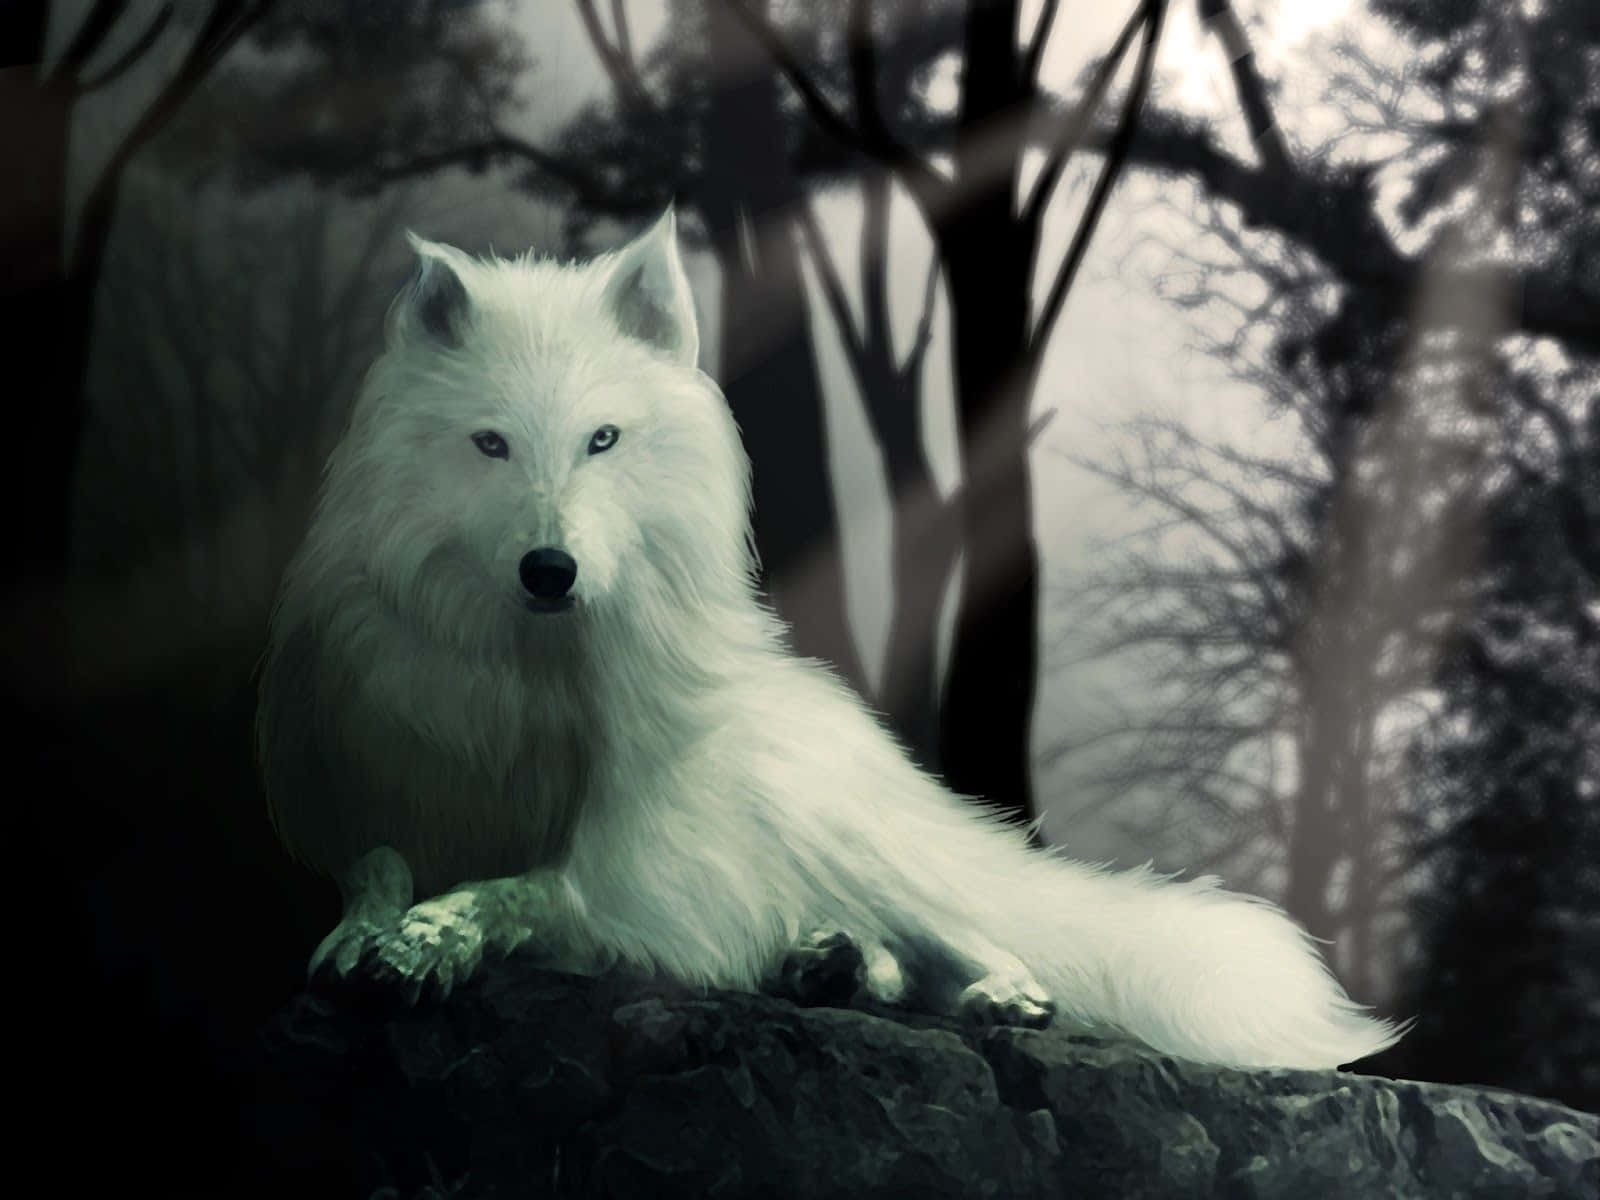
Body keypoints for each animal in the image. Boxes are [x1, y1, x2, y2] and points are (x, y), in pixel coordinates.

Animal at [257, 210, 1405, 1070]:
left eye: (602, 441)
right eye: (490, 444)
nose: (551, 570)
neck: (526, 671)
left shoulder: (621, 866)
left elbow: (518, 890)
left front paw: (433, 938)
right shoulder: (365, 787)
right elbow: (377, 866)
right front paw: (367, 935)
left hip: (851, 842)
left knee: (970, 936)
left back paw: (993, 995)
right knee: (880, 951)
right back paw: (830, 965)